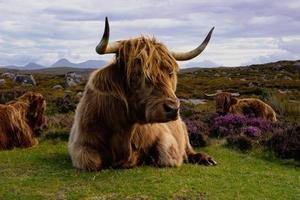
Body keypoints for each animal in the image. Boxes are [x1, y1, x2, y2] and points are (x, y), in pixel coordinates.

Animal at [67, 17, 217, 170]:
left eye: (170, 73)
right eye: (137, 73)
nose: (173, 109)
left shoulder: (166, 137)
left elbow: (166, 156)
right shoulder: (80, 145)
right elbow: (91, 162)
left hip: (184, 129)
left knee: (189, 149)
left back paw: (206, 159)